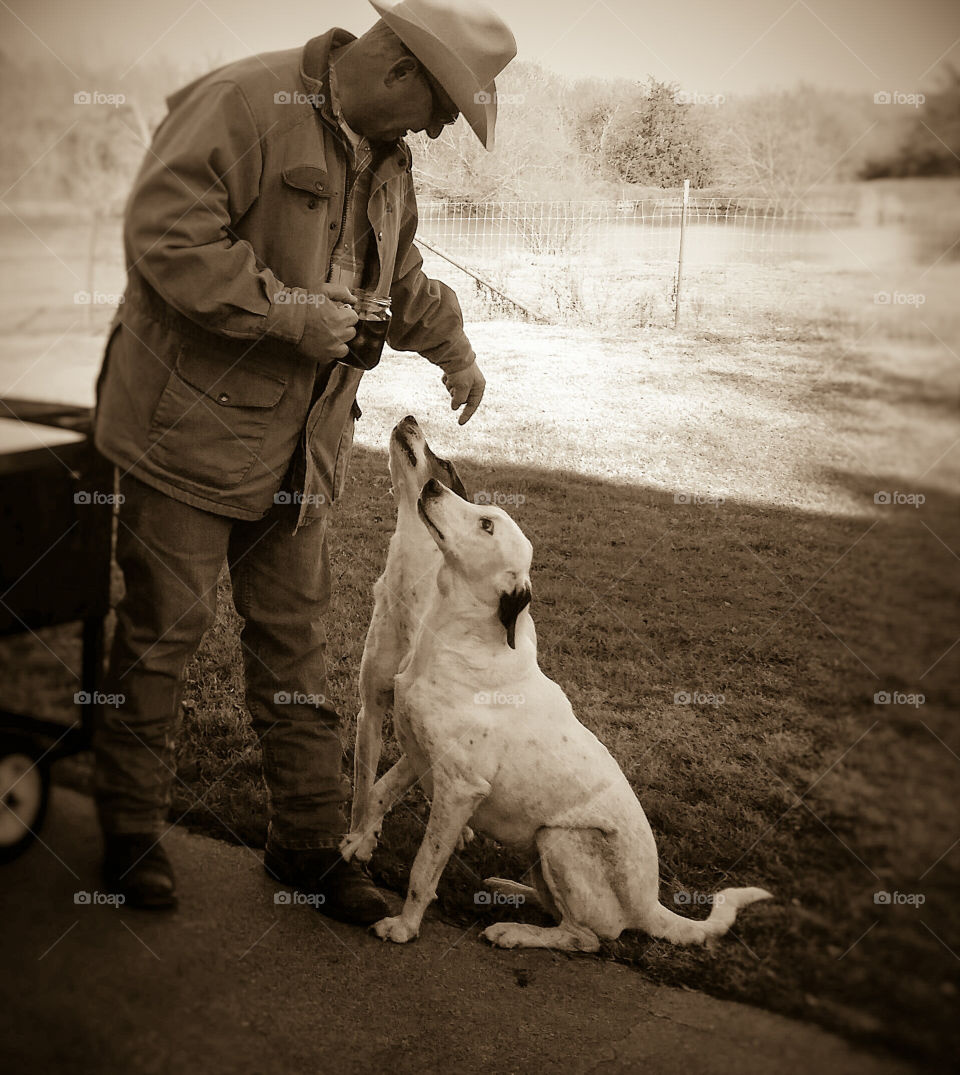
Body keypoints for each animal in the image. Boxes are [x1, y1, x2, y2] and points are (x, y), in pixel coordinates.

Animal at [341, 470, 769, 950]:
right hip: (540, 851)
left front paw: (404, 927)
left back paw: (513, 931)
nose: (432, 483)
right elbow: (377, 792)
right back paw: (509, 890)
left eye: (486, 525)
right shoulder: (421, 755)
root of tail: (649, 907)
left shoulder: (460, 788)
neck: (457, 640)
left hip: (559, 839)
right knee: (556, 908)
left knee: (585, 936)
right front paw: (359, 841)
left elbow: (423, 869)